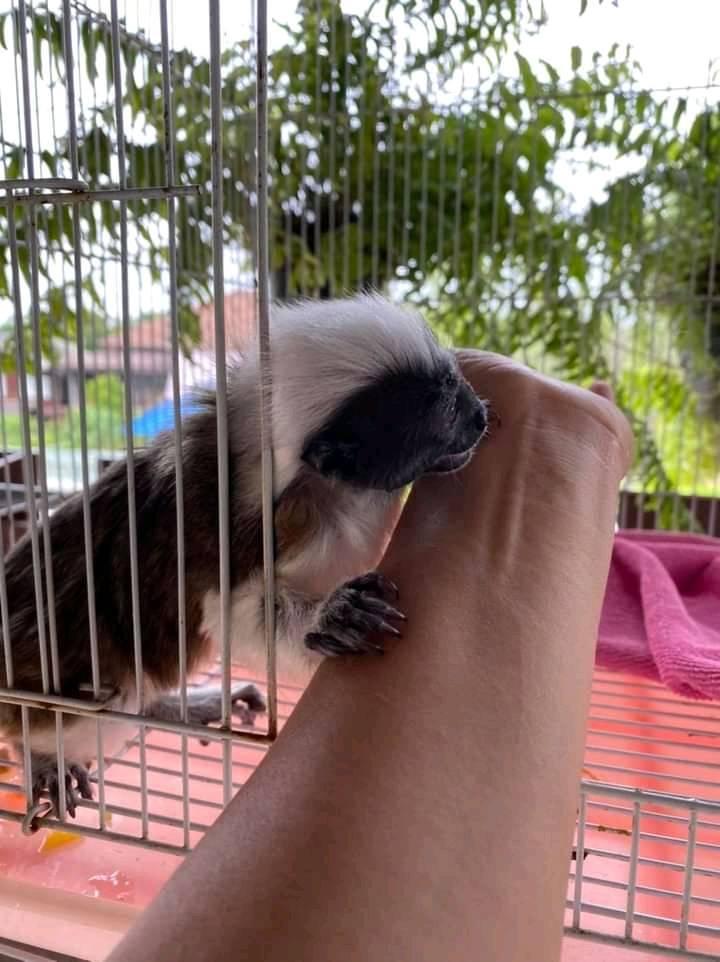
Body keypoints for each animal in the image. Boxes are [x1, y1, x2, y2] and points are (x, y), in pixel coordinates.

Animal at [0, 294, 488, 820]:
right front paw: (334, 615)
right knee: (107, 696)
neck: (327, 488)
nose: (480, 415)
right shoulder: (258, 530)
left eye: (456, 384)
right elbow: (230, 615)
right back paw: (40, 753)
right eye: (442, 411)